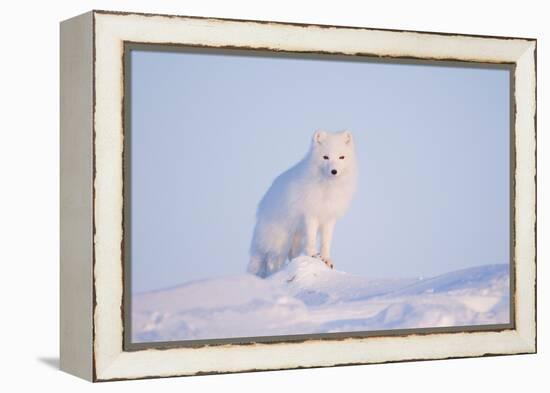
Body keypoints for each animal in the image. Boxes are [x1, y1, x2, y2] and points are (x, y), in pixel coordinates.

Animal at [249, 130, 360, 278]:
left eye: (341, 157)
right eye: (325, 157)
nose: (334, 171)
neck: (327, 189)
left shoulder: (329, 218)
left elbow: (326, 241)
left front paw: (326, 259)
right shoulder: (310, 215)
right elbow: (312, 239)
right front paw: (313, 255)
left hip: (295, 241)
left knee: (291, 255)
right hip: (280, 242)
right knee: (273, 262)